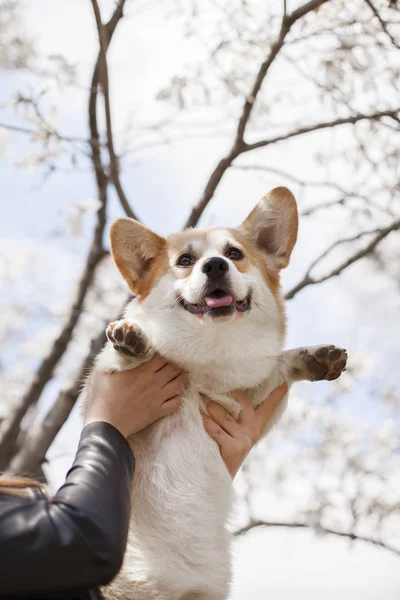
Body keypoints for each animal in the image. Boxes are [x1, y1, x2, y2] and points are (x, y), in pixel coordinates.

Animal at [84, 188, 346, 600]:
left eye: (234, 253)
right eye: (185, 261)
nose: (216, 266)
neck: (210, 357)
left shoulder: (245, 404)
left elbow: (278, 366)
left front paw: (315, 357)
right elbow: (123, 359)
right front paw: (134, 342)